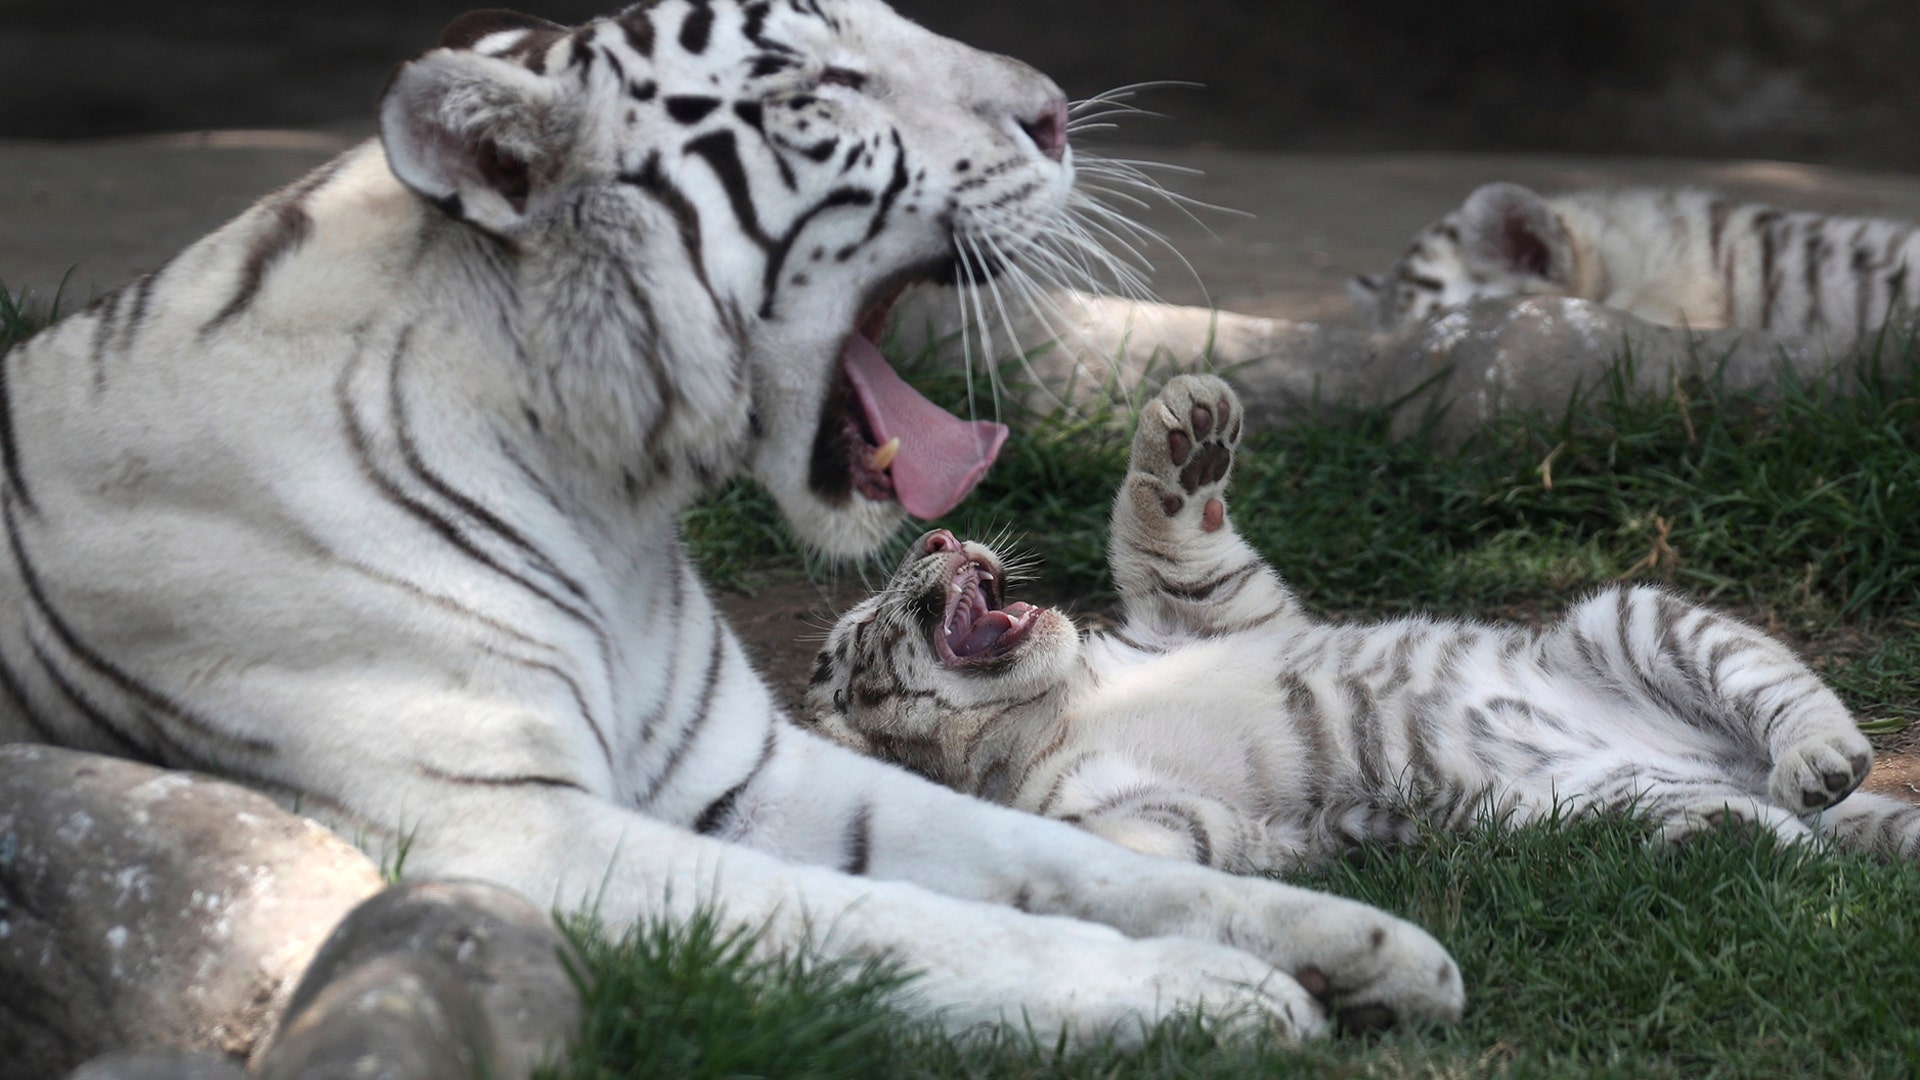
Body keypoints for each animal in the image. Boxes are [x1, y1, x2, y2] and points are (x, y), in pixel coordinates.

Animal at [0, 0, 1465, 1047]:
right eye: (819, 87)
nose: (1059, 115)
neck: (613, 508)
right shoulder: (516, 836)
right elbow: (898, 922)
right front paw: (1215, 997)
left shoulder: (745, 774)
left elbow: (1054, 857)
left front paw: (1359, 945)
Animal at [803, 373, 1920, 875]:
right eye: (849, 639)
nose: (938, 533)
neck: (1064, 701)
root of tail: (1727, 775)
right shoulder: (1131, 798)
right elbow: (1132, 836)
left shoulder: (1209, 616)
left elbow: (1165, 535)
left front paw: (1189, 433)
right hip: (1614, 811)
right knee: (1772, 843)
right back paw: (1788, 842)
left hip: (1630, 616)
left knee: (1790, 697)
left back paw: (1818, 758)